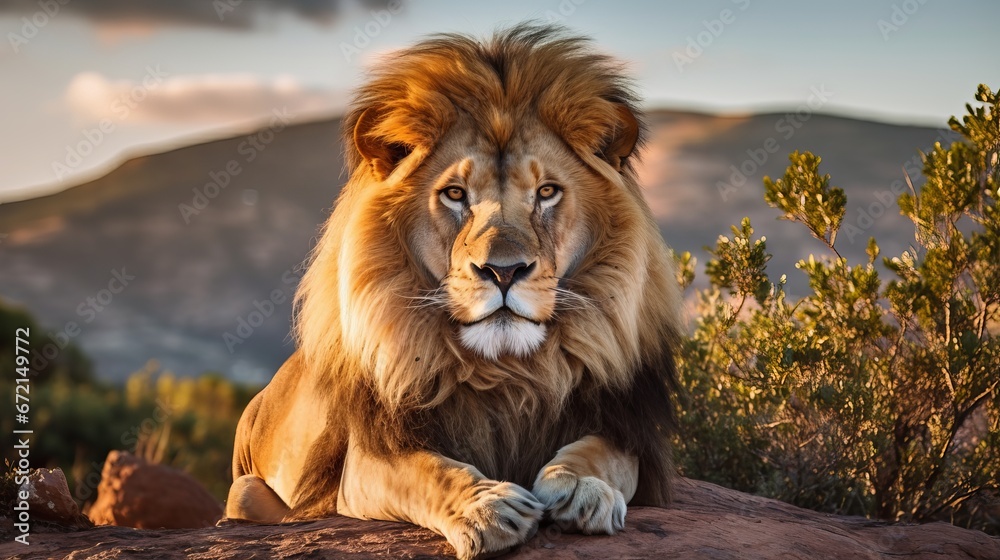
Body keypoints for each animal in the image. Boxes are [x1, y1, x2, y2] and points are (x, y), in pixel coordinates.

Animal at [225, 24, 681, 559]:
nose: (503, 271)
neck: (507, 373)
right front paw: (486, 508)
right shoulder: (367, 461)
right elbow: (429, 471)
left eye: (547, 192)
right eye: (455, 194)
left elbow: (598, 454)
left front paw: (582, 488)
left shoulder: (626, 432)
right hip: (244, 489)